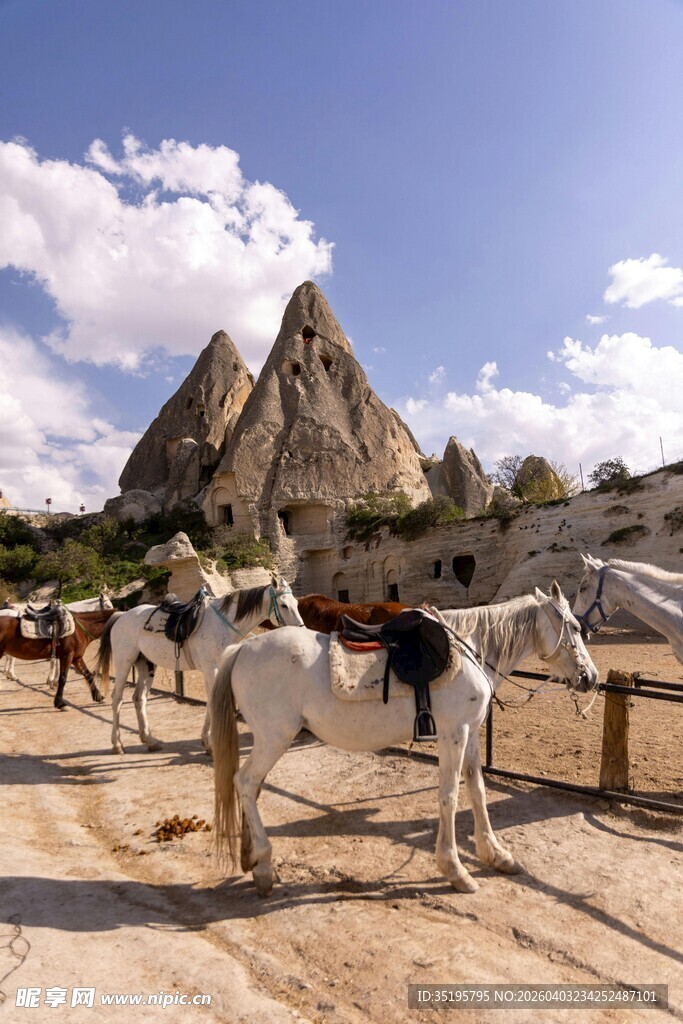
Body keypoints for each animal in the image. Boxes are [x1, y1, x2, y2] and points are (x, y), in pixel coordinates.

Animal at [96, 576, 304, 755]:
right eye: (284, 605)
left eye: (297, 603)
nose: (301, 630)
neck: (223, 624)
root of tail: (121, 615)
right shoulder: (211, 670)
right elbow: (212, 702)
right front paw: (210, 744)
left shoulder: (218, 669)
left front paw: (206, 741)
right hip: (124, 663)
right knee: (117, 698)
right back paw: (117, 744)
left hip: (146, 666)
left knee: (139, 698)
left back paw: (150, 740)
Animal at [211, 581, 597, 896]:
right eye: (577, 628)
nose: (591, 677)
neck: (470, 650)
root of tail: (241, 650)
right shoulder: (453, 734)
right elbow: (449, 797)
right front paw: (455, 869)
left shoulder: (471, 733)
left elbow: (477, 791)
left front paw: (496, 854)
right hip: (274, 737)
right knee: (245, 782)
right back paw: (263, 864)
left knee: (252, 788)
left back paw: (250, 857)